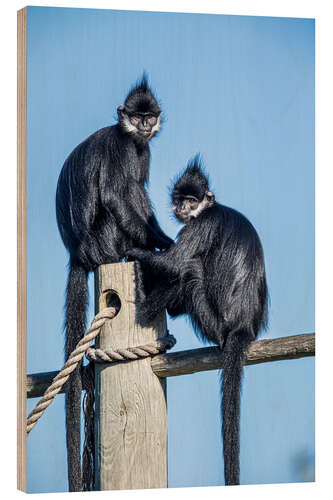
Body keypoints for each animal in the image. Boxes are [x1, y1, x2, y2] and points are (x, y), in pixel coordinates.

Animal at [55, 75, 171, 492]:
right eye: (135, 117)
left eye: (149, 115)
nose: (144, 126)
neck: (131, 137)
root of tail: (80, 252)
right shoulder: (123, 148)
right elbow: (117, 194)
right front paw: (164, 244)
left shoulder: (142, 148)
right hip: (106, 238)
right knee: (121, 195)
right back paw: (139, 248)